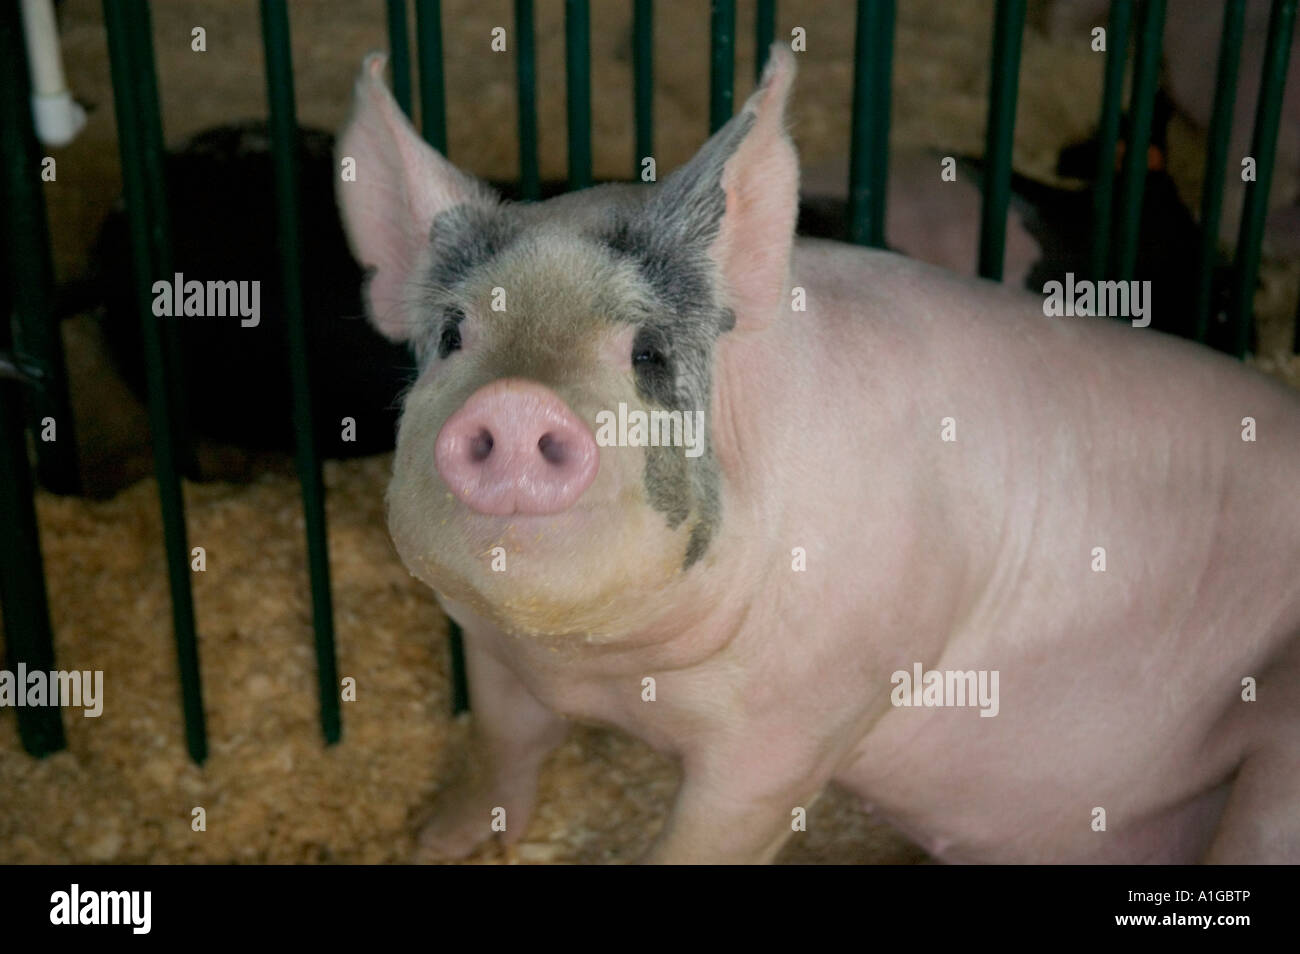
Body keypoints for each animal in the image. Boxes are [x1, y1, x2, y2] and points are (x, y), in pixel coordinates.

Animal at [338, 46, 1300, 868]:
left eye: (648, 353)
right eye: (454, 335)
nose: (515, 400)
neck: (603, 670)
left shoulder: (806, 720)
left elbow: (708, 836)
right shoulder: (489, 645)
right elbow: (505, 744)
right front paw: (436, 842)